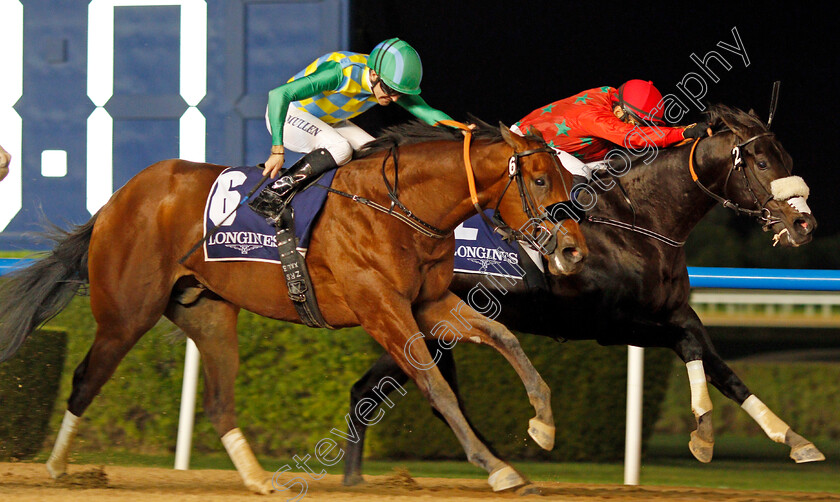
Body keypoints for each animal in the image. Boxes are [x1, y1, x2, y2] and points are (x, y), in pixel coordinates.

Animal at [0, 121, 588, 494]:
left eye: (568, 179)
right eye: (540, 180)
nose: (573, 250)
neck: (398, 206)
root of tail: (115, 201)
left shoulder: (428, 301)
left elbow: (504, 337)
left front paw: (543, 425)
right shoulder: (382, 308)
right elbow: (436, 386)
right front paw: (497, 468)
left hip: (210, 314)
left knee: (218, 401)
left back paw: (259, 479)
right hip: (126, 314)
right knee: (86, 379)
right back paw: (58, 469)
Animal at [344, 104, 824, 484]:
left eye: (787, 157)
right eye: (760, 162)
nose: (804, 224)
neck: (638, 220)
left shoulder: (674, 311)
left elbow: (721, 368)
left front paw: (793, 437)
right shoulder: (606, 324)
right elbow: (688, 345)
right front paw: (703, 435)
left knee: (367, 393)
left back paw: (358, 477)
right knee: (388, 395)